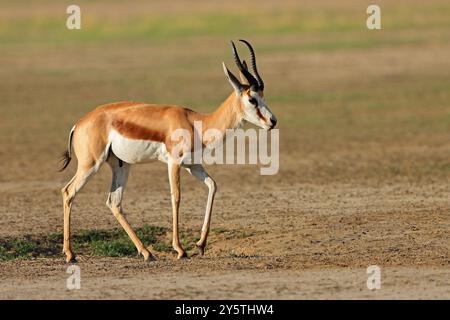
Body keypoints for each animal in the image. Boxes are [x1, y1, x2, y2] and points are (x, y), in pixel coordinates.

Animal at [59, 39, 278, 262]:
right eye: (252, 99)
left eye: (263, 97)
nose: (272, 121)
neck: (196, 123)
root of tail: (79, 123)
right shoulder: (174, 163)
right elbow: (176, 197)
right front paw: (180, 249)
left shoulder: (193, 165)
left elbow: (213, 186)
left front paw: (200, 245)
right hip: (90, 164)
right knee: (68, 192)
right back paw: (70, 254)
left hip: (121, 165)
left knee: (114, 202)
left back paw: (147, 253)